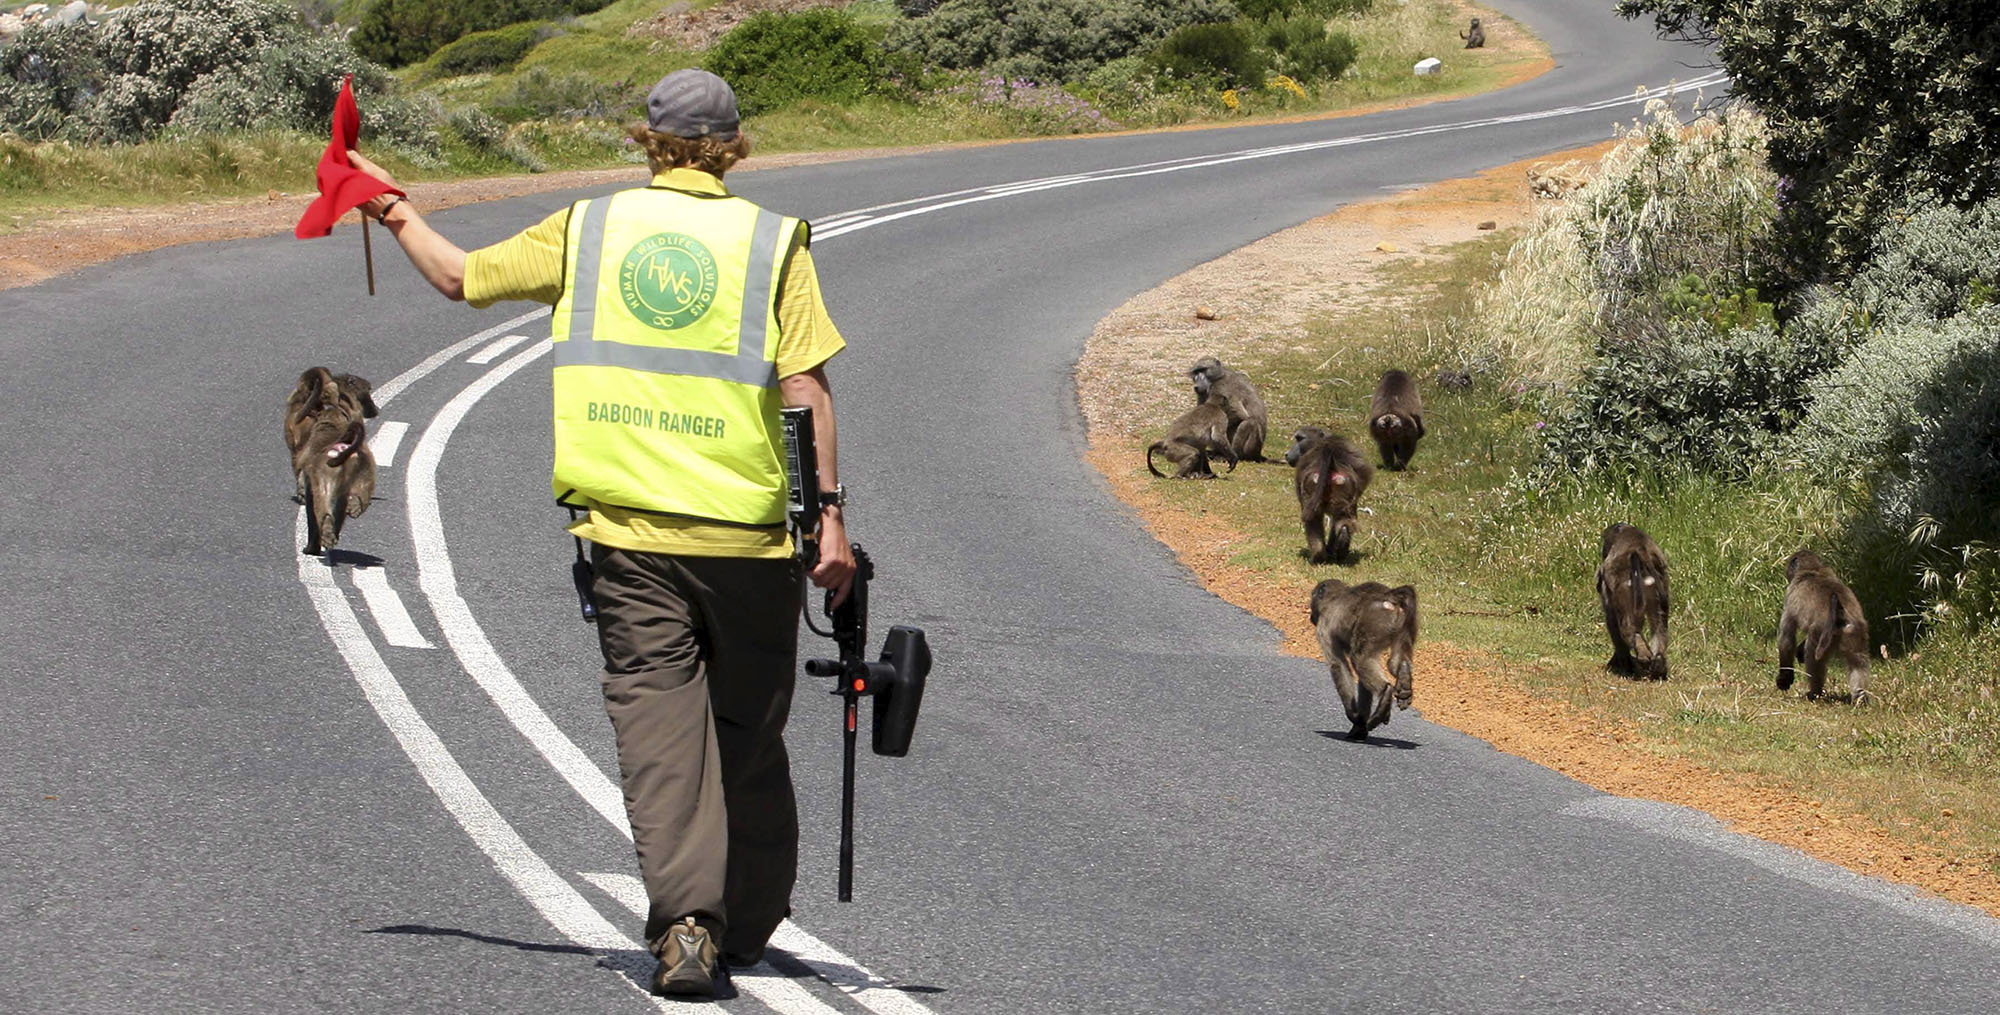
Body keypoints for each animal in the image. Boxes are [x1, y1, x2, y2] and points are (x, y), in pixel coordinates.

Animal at [1286, 426, 1373, 564]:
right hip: (1344, 484)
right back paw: (1341, 547)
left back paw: (1317, 557)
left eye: (1299, 438)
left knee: (1313, 519)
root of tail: (1329, 450)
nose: (1287, 454)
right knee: (1343, 517)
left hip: (1312, 481)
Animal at [1310, 579, 1419, 740]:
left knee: (1359, 659)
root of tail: (1388, 596)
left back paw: (1385, 694)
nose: (1311, 617)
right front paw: (1359, 726)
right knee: (1393, 662)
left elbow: (1338, 665)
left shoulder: (1324, 627)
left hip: (1374, 622)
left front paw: (1353, 716)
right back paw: (1404, 681)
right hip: (1404, 623)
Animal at [1597, 523, 1670, 680]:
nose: (1603, 552)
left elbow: (1612, 623)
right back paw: (1658, 664)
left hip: (1626, 589)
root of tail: (1641, 552)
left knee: (1627, 628)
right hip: (1658, 588)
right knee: (1659, 627)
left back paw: (1641, 655)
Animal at [1776, 550, 1872, 704]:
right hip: (1854, 632)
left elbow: (1786, 640)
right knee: (1858, 663)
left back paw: (1814, 693)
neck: (1812, 570)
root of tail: (1840, 613)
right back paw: (1859, 699)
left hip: (1822, 636)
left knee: (1813, 659)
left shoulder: (1790, 597)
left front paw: (1785, 679)